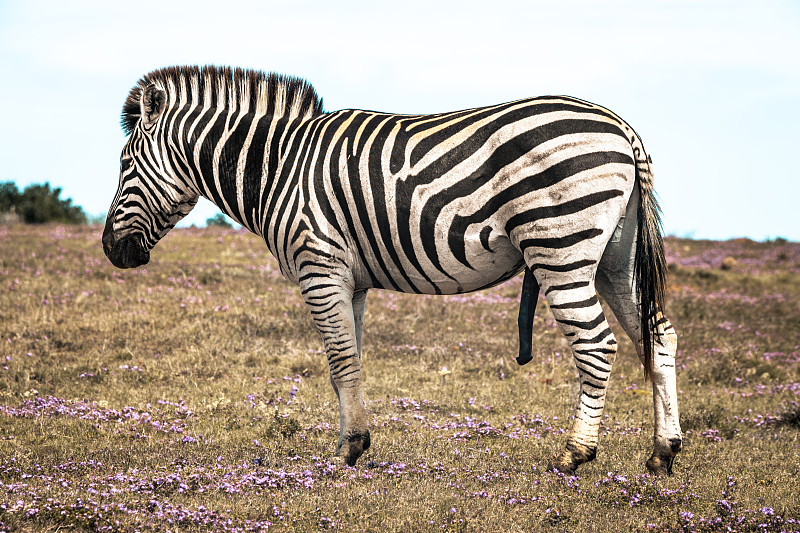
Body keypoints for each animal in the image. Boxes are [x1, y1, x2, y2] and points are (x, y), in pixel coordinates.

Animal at [103, 65, 680, 474]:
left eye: (125, 166)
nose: (111, 250)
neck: (279, 167)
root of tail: (622, 128)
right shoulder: (351, 280)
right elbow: (350, 362)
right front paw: (352, 441)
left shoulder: (319, 266)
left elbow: (339, 361)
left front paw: (349, 451)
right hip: (614, 259)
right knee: (658, 336)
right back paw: (663, 452)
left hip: (560, 246)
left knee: (597, 345)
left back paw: (573, 454)